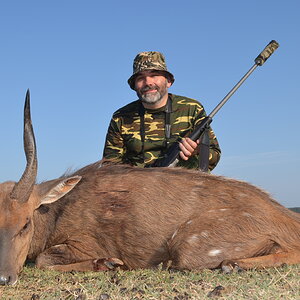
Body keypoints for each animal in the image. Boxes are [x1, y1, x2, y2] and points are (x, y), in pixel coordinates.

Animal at [0, 90, 298, 284]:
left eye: (25, 224)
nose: (5, 278)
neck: (56, 212)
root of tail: (285, 217)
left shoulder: (85, 243)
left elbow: (44, 259)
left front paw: (109, 263)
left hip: (188, 245)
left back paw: (231, 265)